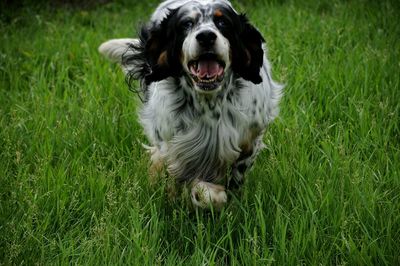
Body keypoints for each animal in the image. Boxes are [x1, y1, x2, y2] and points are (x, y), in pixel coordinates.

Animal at [98, 0, 282, 209]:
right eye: (186, 24)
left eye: (223, 22)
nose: (206, 36)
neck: (209, 105)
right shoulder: (177, 149)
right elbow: (197, 184)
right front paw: (207, 194)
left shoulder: (250, 140)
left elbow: (235, 177)